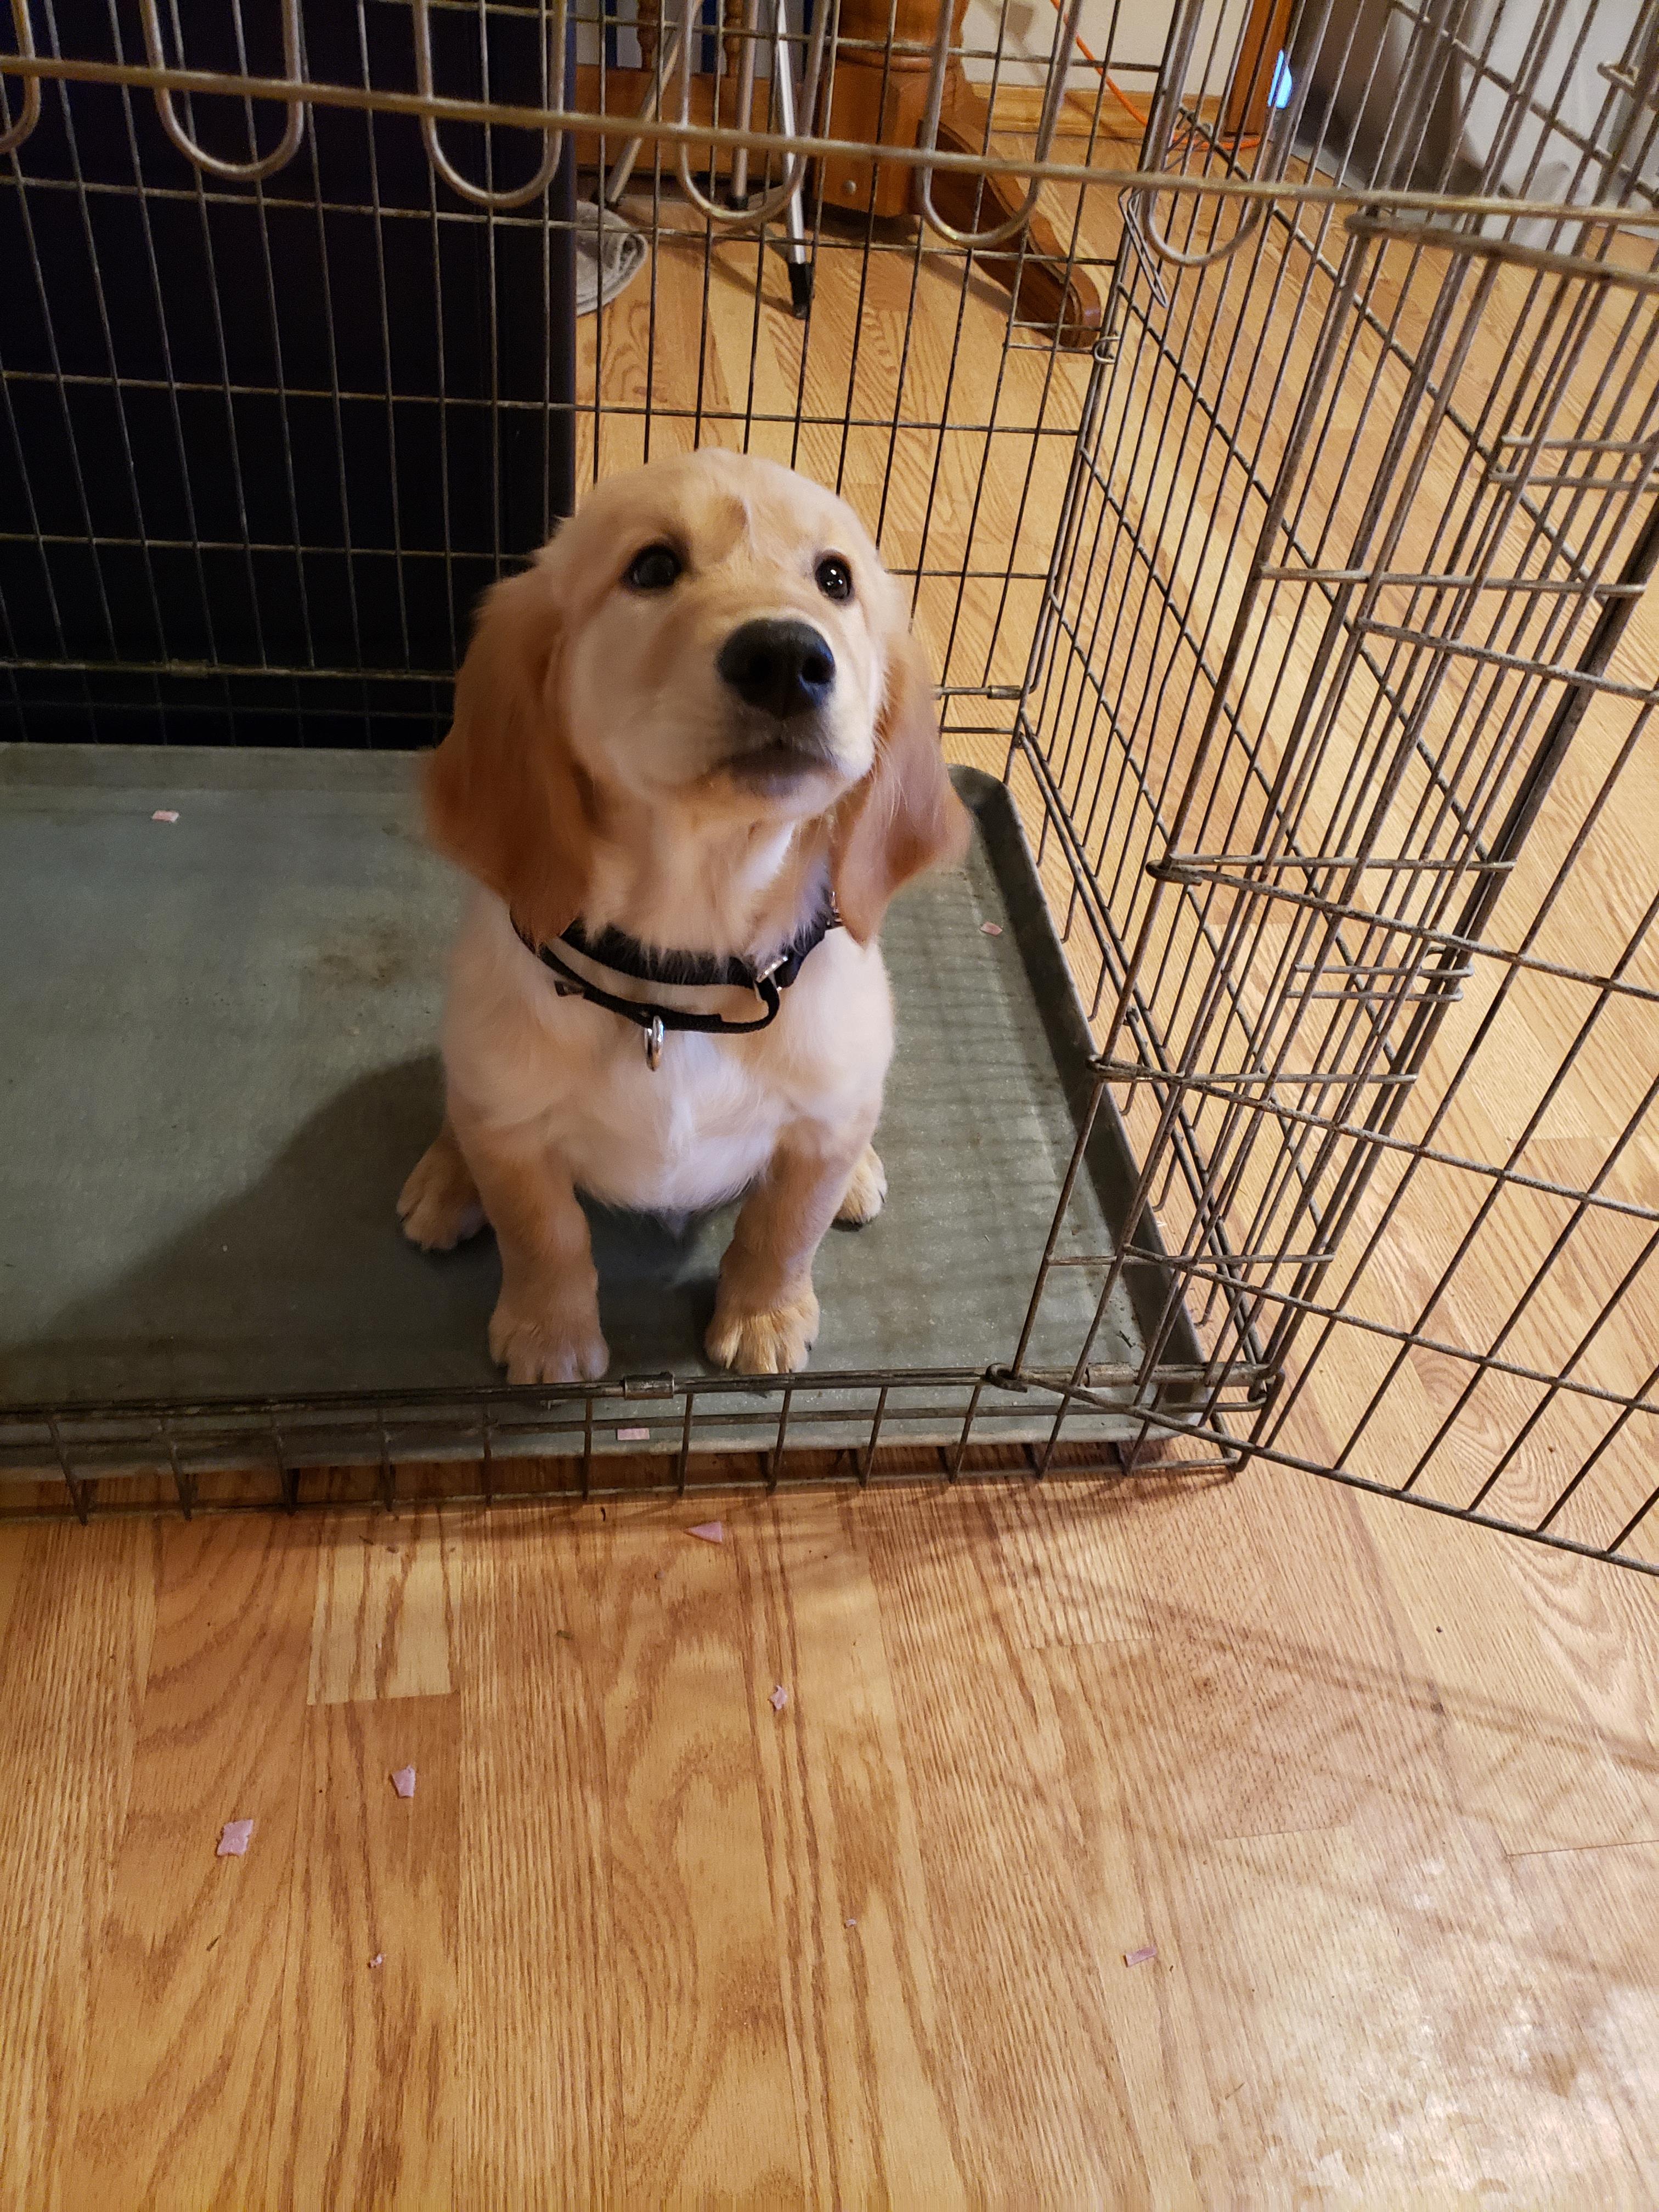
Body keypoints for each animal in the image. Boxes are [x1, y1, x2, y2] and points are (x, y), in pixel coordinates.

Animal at [397, 447, 969, 1384]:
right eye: (653, 567)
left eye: (835, 579)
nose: (787, 658)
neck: (686, 963)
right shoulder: (516, 1136)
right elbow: (544, 1236)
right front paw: (550, 1338)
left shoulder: (820, 1124)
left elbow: (785, 1228)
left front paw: (766, 1317)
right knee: (462, 1109)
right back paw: (448, 1179)